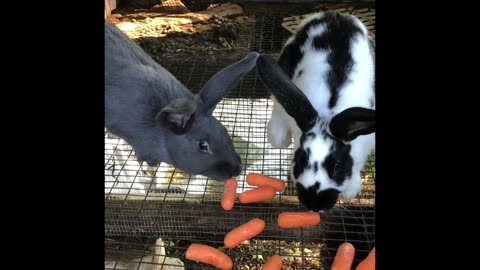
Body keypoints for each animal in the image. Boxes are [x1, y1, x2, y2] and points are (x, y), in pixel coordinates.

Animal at [256, 11, 376, 212]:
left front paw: (350, 191)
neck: (328, 114)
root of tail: (334, 15)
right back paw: (278, 135)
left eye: (336, 165)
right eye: (301, 160)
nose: (313, 205)